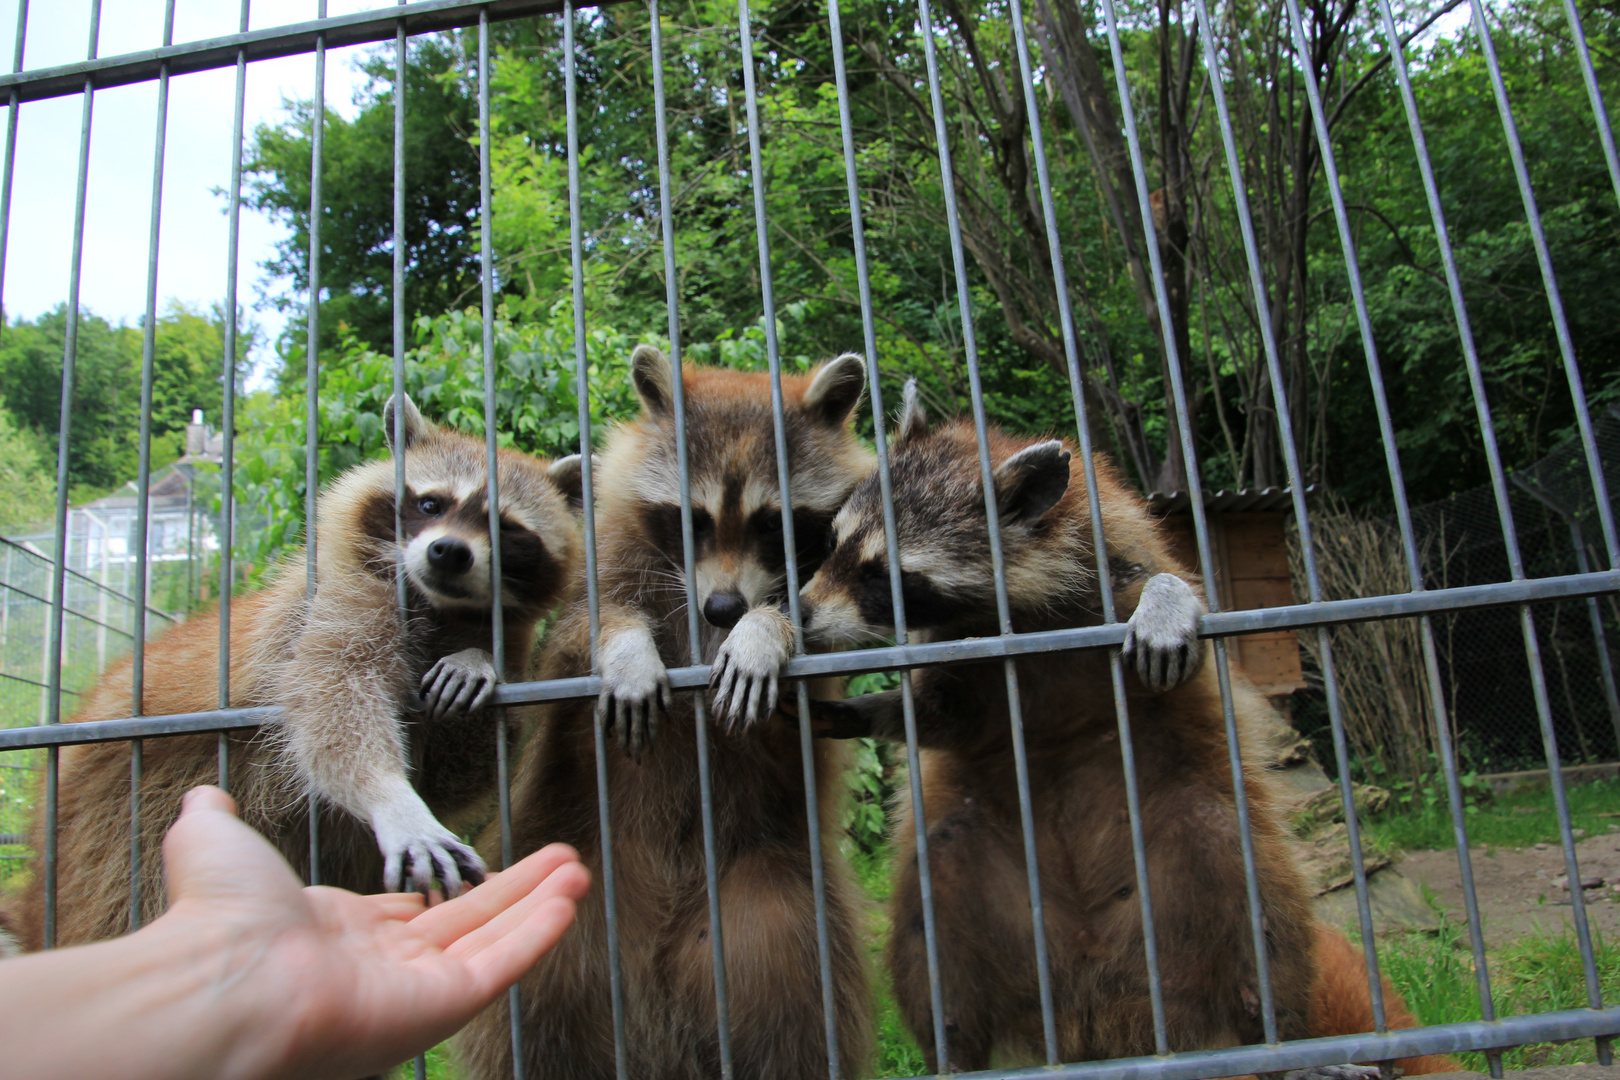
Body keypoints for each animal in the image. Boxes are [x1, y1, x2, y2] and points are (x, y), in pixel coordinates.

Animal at [0, 395, 583, 945]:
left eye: (506, 530)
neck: (440, 606)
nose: (448, 552)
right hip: (114, 838)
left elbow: (452, 775)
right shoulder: (329, 608)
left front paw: (475, 662)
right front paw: (391, 797)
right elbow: (333, 699)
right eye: (431, 503)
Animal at [456, 344, 881, 1080]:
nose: (723, 609)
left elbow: (817, 649)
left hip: (770, 907)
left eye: (771, 523)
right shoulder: (604, 566)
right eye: (694, 521)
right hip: (558, 910)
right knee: (528, 1031)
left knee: (793, 1005)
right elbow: (584, 631)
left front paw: (765, 628)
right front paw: (627, 649)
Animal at [797, 386, 1445, 1075]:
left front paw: (1168, 598)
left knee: (1258, 903)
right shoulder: (961, 658)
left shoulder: (1118, 559)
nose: (800, 614)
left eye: (883, 575)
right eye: (832, 544)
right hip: (969, 881)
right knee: (932, 921)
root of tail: (1091, 1005)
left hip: (1201, 848)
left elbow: (1182, 606)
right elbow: (945, 717)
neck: (1013, 611)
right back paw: (957, 1051)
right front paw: (875, 705)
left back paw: (1282, 1040)